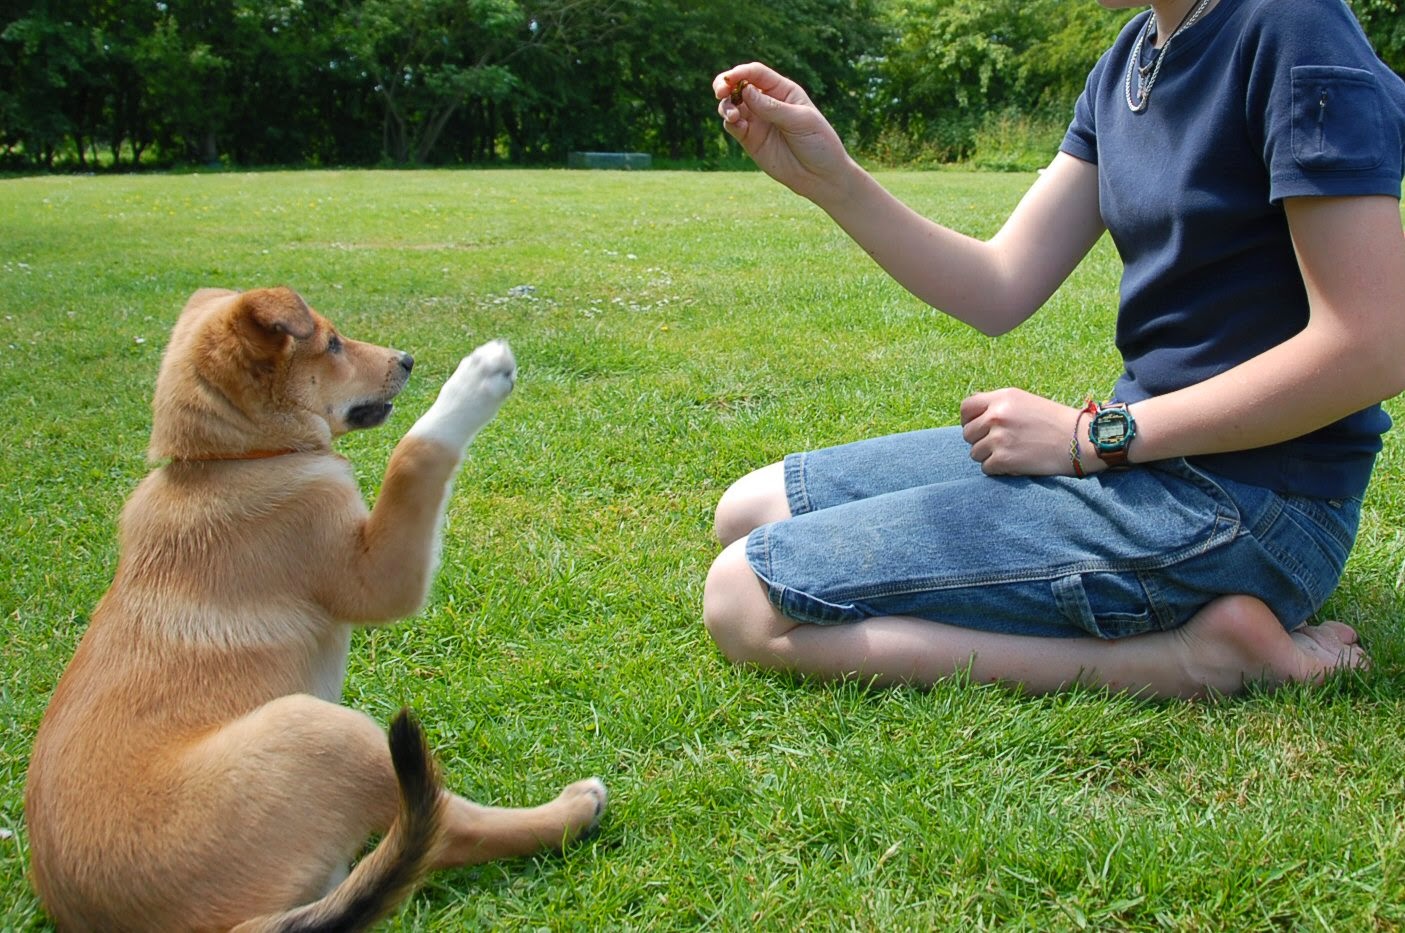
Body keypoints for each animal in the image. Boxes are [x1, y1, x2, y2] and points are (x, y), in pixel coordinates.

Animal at [21, 286, 604, 933]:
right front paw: (475, 379)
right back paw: (572, 809)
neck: (233, 461)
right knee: (447, 829)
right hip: (316, 730)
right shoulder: (375, 576)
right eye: (331, 343)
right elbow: (412, 455)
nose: (406, 360)